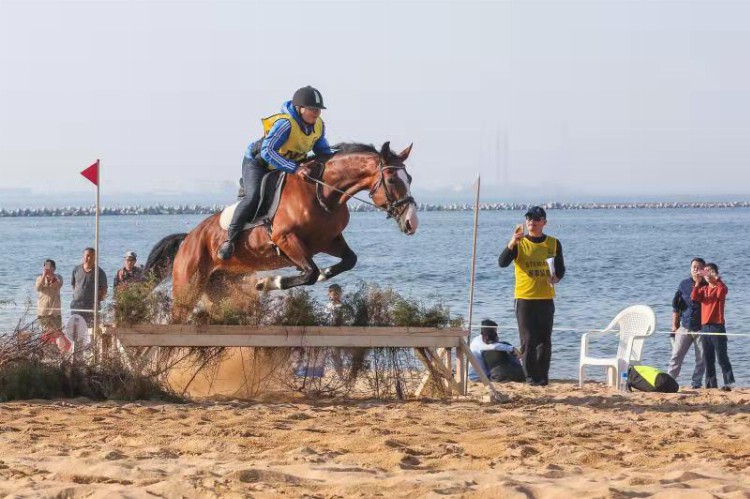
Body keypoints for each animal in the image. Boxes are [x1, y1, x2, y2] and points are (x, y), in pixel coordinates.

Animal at [144, 142, 420, 320]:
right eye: (392, 180)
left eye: (410, 179)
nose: (411, 222)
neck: (321, 193)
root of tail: (188, 239)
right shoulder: (285, 239)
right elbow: (309, 272)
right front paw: (268, 282)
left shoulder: (329, 240)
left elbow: (346, 261)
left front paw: (323, 275)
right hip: (187, 286)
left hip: (222, 288)